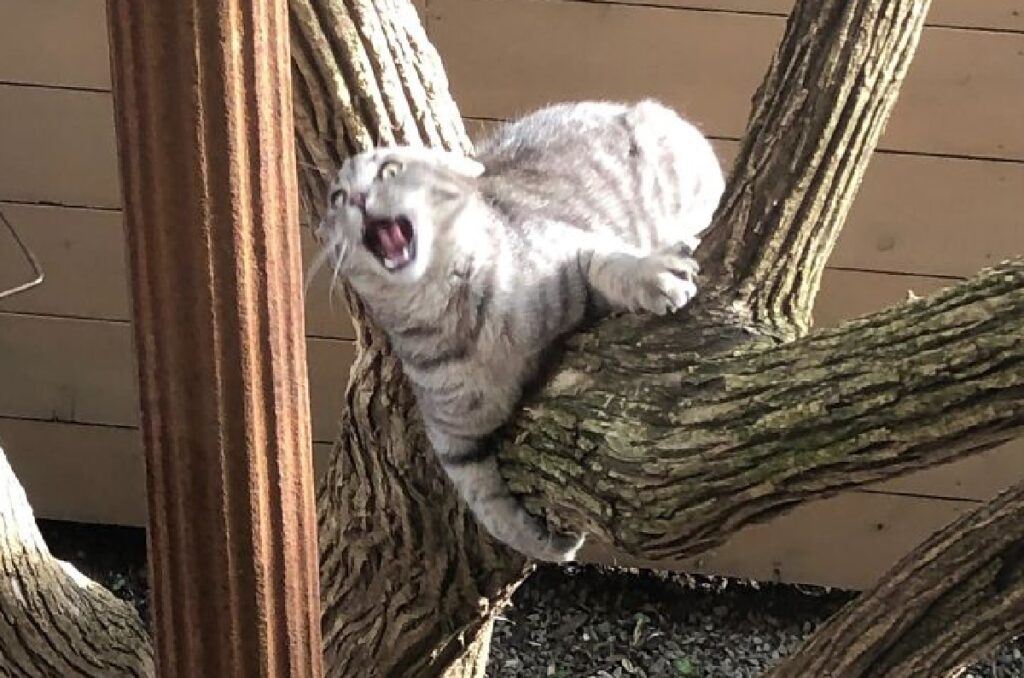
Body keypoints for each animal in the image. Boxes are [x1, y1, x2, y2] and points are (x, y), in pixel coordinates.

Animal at [315, 98, 724, 561]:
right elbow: (492, 511)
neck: (465, 322)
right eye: (336, 197)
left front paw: (653, 274)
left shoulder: (572, 247)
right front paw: (550, 545)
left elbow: (611, 262)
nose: (358, 197)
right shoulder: (453, 442)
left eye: (390, 169)